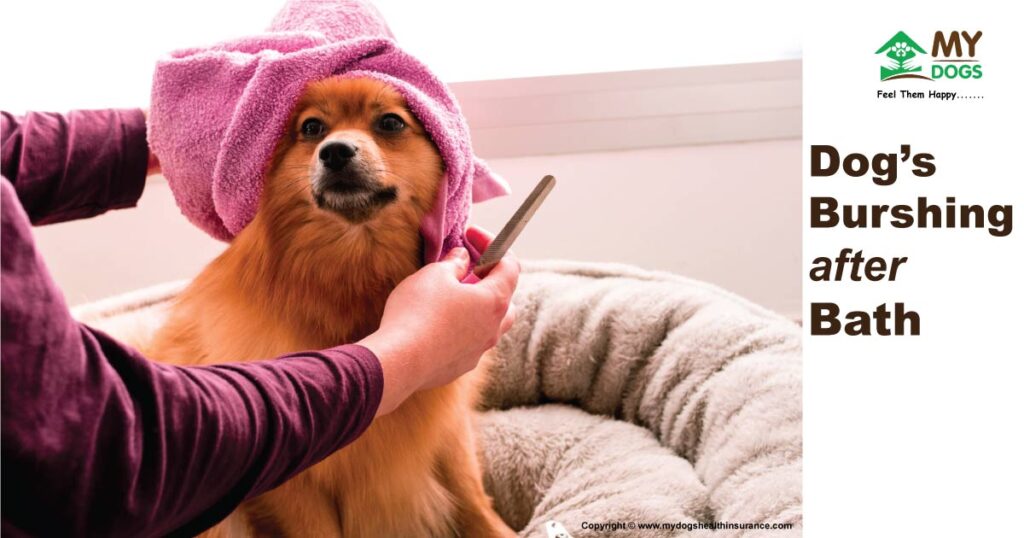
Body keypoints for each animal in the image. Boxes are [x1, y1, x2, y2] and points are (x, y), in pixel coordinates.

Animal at [148, 76, 516, 536]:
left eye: (391, 122)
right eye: (312, 128)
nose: (335, 151)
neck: (354, 271)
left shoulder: (447, 428)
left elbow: (471, 497)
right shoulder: (295, 486)